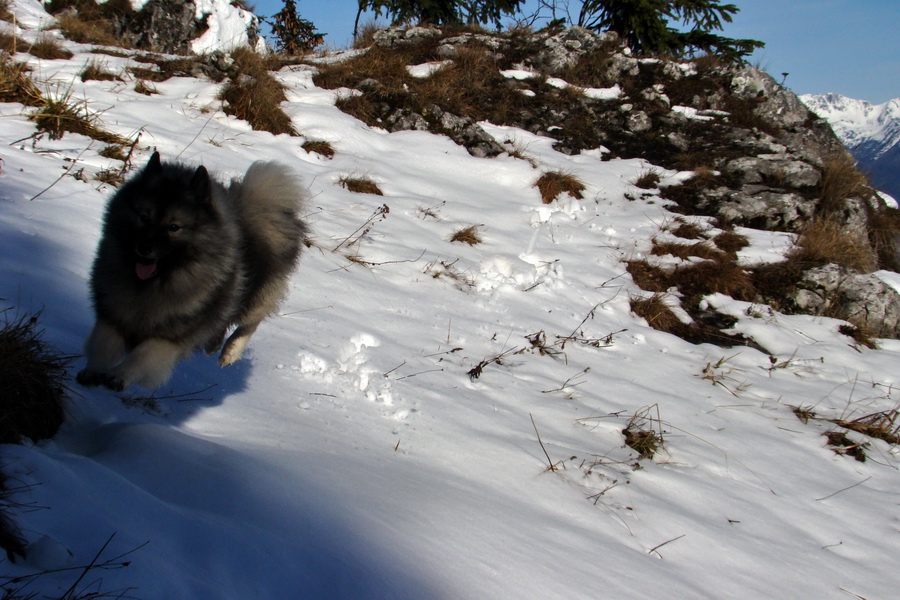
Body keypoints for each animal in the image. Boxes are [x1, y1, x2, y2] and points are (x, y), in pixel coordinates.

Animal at [77, 152, 310, 392]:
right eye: (143, 217)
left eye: (174, 227)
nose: (144, 248)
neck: (154, 283)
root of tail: (255, 204)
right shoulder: (113, 313)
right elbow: (104, 345)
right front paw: (93, 371)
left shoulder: (170, 336)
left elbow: (142, 357)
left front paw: (118, 375)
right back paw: (213, 345)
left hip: (255, 295)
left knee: (250, 322)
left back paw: (230, 352)